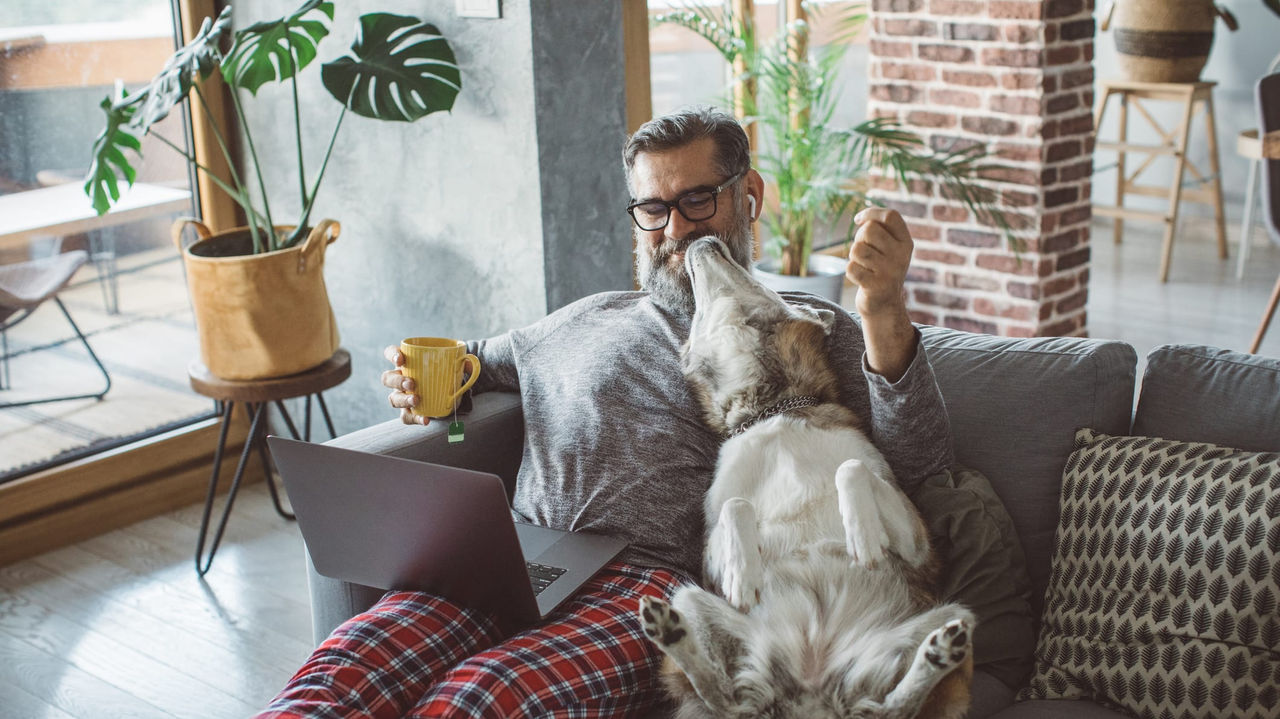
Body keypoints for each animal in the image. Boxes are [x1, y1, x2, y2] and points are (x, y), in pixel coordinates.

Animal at [634, 236, 972, 716]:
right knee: (726, 698)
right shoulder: (707, 562)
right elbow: (735, 507)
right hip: (689, 597)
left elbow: (851, 469)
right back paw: (669, 632)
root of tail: (813, 692)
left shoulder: (918, 546)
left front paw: (863, 537)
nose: (705, 240)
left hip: (957, 615)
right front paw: (743, 574)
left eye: (756, 277)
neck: (774, 412)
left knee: (895, 707)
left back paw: (937, 654)